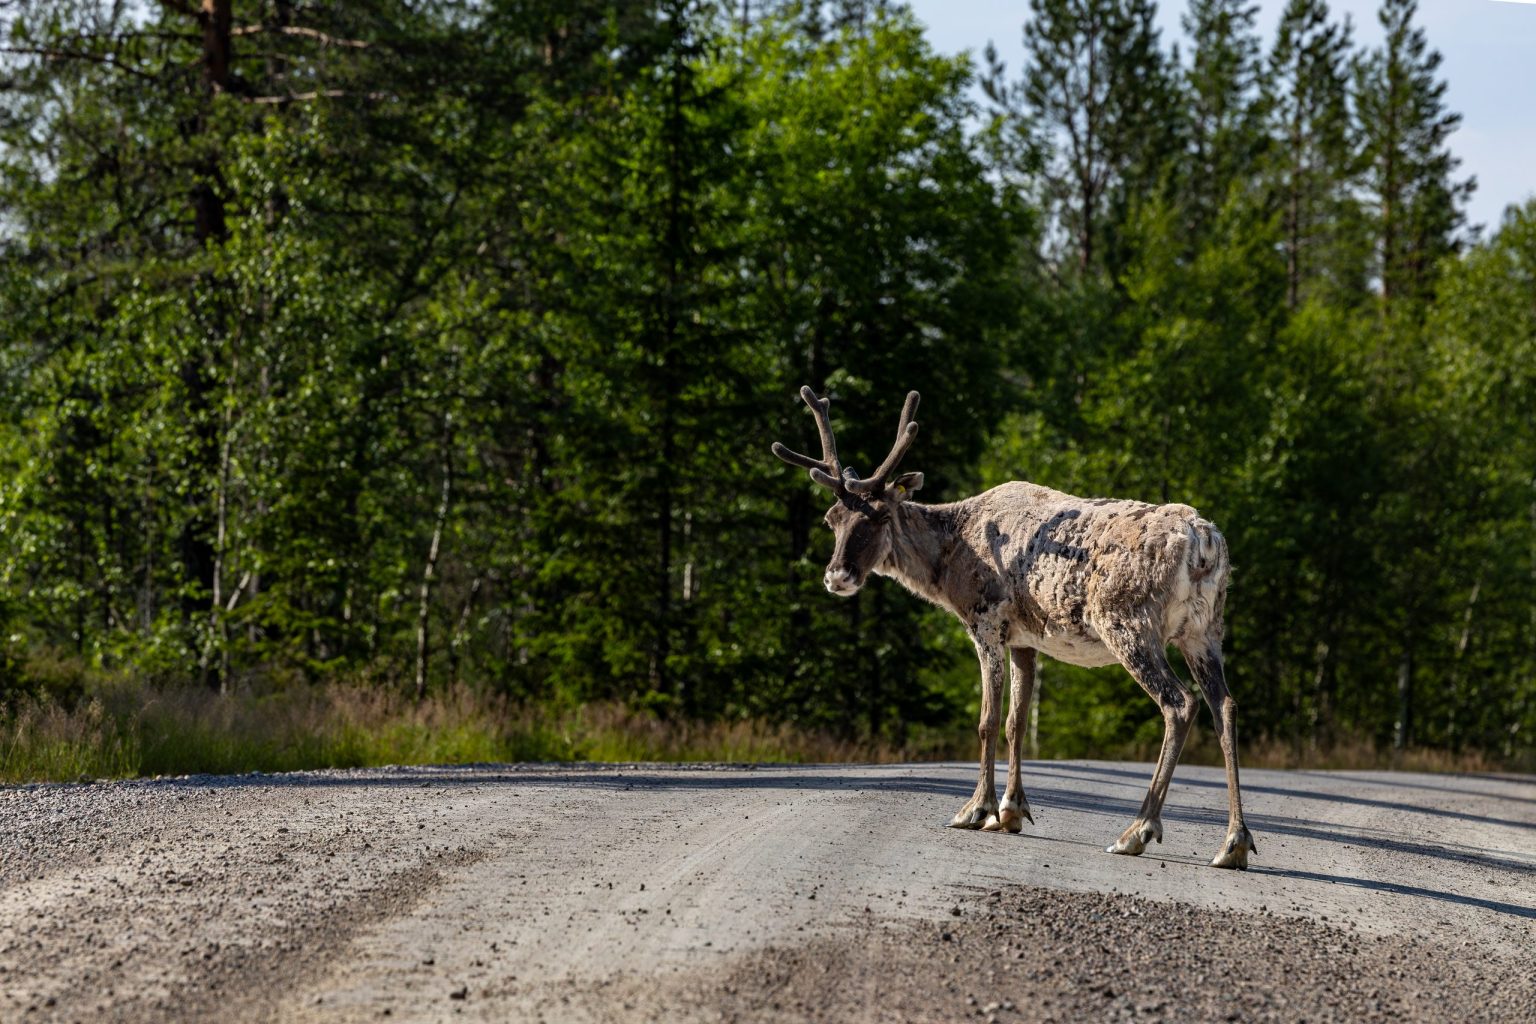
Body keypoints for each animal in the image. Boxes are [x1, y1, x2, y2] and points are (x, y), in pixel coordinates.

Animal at [772, 386, 1257, 869]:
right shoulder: (1027, 639)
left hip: (1129, 624)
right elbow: (1016, 721)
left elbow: (987, 720)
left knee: (1179, 703)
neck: (950, 556)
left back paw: (1137, 830)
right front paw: (1011, 810)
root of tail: (1203, 542)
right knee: (1225, 706)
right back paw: (1233, 843)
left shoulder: (985, 621)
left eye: (878, 517)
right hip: (1204, 631)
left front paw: (976, 809)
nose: (837, 576)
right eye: (832, 519)